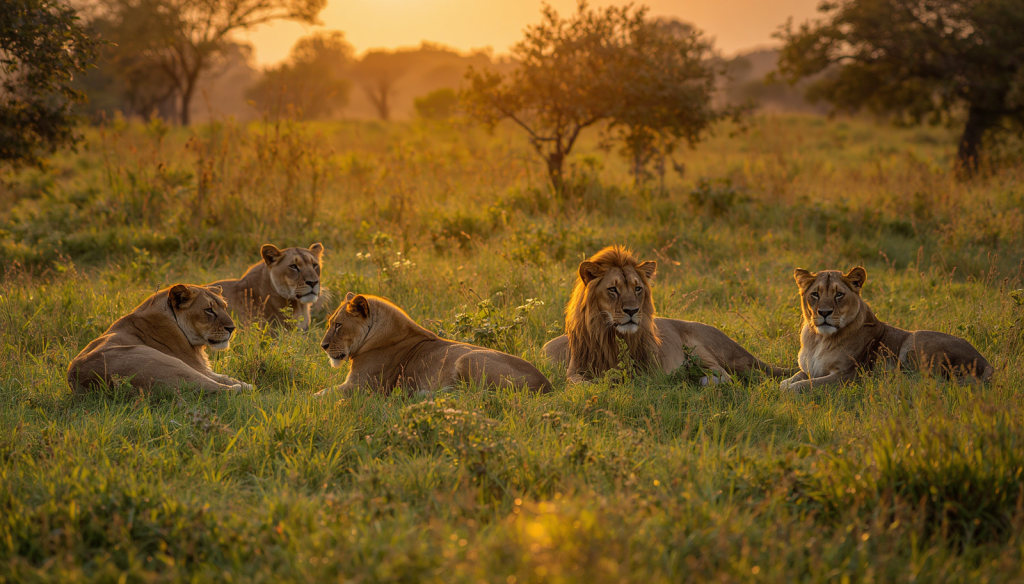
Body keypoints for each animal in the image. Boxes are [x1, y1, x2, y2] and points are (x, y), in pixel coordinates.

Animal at [68, 284, 252, 394]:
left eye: (224, 307)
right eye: (208, 310)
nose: (232, 328)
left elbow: (224, 376)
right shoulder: (197, 366)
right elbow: (221, 378)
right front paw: (244, 384)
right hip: (167, 362)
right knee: (218, 387)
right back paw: (245, 389)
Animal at [315, 293, 553, 395]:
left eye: (338, 325)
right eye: (330, 323)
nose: (322, 346)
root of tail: (546, 385)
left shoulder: (361, 387)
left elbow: (321, 394)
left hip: (466, 358)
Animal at [542, 246, 793, 384]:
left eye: (637, 288)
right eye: (612, 289)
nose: (632, 311)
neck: (610, 336)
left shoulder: (649, 370)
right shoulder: (576, 370)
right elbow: (579, 382)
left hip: (700, 349)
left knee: (725, 376)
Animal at [779, 266, 994, 392]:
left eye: (839, 294)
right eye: (815, 294)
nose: (824, 312)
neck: (818, 340)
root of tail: (987, 364)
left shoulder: (848, 375)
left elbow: (805, 385)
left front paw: (787, 390)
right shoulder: (811, 368)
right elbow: (795, 377)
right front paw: (785, 382)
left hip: (916, 338)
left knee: (928, 381)